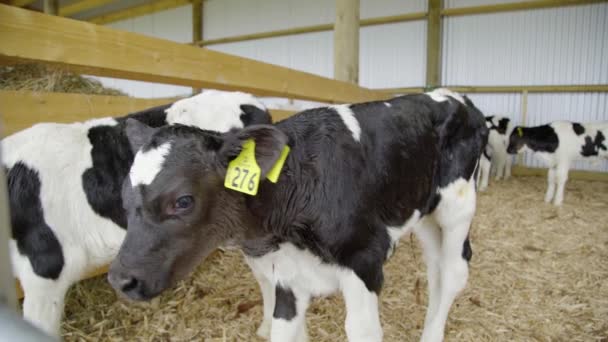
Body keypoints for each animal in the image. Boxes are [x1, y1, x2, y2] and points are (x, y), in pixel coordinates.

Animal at [109, 89, 486, 342]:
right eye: (124, 196)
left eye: (183, 201)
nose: (120, 280)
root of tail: (455, 96)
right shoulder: (286, 277)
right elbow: (283, 328)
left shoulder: (365, 260)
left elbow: (362, 331)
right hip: (423, 213)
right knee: (435, 269)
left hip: (457, 204)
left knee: (453, 272)